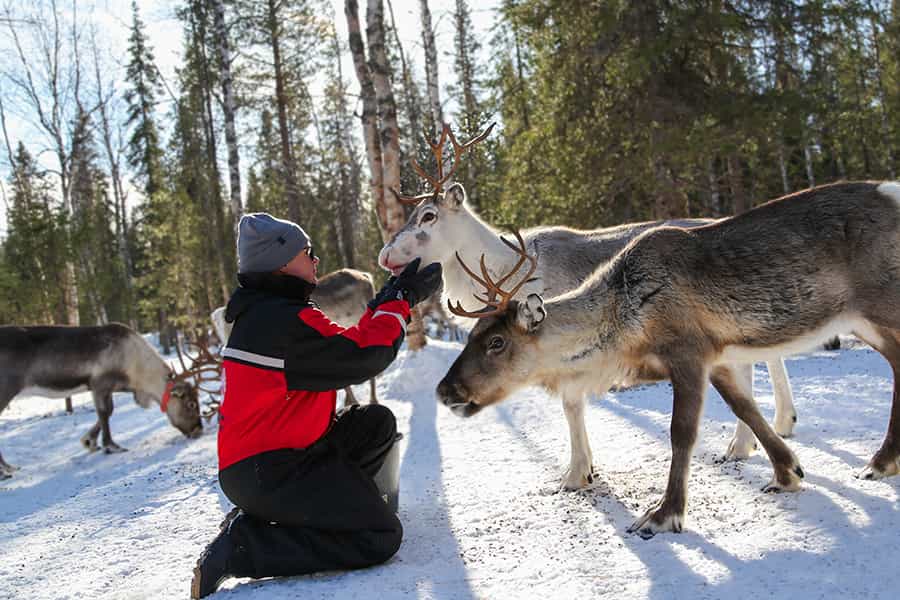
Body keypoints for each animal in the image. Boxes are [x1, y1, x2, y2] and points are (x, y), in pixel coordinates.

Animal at [0, 323, 202, 478]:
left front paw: (89, 441)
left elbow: (108, 411)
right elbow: (104, 412)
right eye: (191, 404)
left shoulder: (107, 388)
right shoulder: (99, 383)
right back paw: (6, 470)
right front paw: (111, 446)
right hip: (6, 389)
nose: (198, 430)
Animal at [378, 123, 798, 489]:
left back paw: (748, 439)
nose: (384, 255)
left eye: (428, 216)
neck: (498, 266)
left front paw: (578, 472)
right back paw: (779, 424)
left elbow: (570, 404)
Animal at [436, 180, 900, 537]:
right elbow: (746, 408)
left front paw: (664, 513)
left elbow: (682, 433)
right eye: (471, 335)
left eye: (497, 342)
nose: (444, 390)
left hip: (877, 305)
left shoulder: (687, 353)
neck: (623, 319)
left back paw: (880, 462)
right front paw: (788, 473)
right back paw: (881, 460)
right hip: (865, 319)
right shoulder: (717, 357)